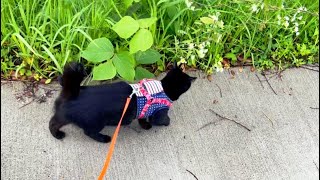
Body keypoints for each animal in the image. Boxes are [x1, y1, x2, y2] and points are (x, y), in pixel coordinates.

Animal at [49, 62, 196, 143]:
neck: (164, 87)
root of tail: (73, 93)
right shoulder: (159, 113)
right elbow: (162, 120)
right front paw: (167, 123)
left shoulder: (143, 110)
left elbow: (142, 118)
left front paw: (145, 126)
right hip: (95, 123)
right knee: (89, 132)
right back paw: (104, 139)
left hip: (63, 116)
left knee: (53, 123)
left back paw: (57, 135)